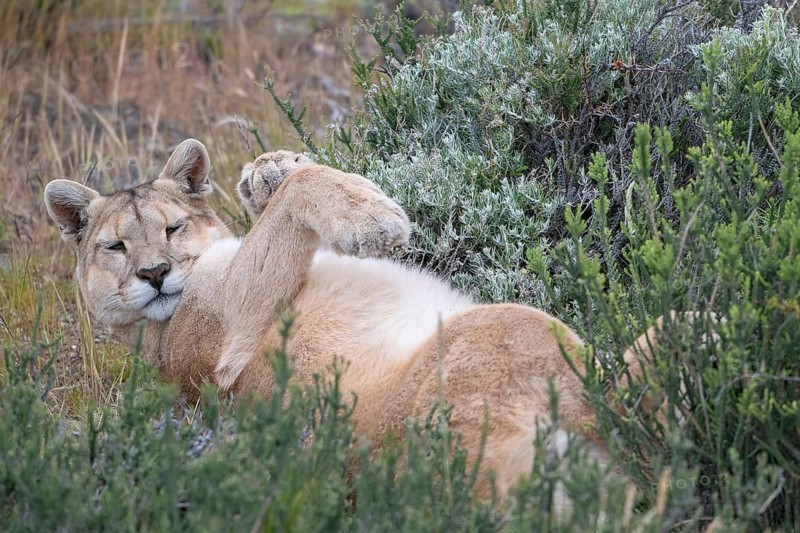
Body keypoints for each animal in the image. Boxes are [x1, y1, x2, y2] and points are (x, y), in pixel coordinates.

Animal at [44, 139, 655, 503]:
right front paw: (372, 216)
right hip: (520, 332)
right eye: (115, 246)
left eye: (171, 228)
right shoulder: (231, 331)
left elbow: (277, 200)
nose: (154, 272)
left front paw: (268, 169)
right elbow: (299, 195)